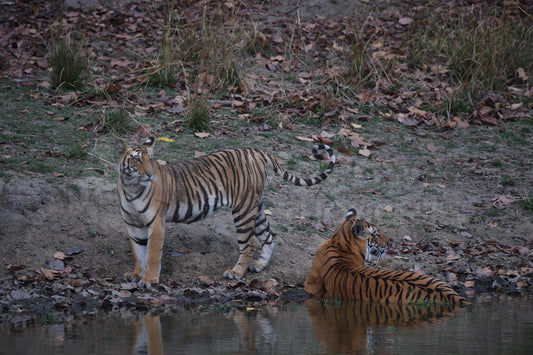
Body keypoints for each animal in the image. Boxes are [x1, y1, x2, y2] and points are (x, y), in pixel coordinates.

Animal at [118, 136, 334, 286]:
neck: (130, 187)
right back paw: (259, 265)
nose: (149, 174)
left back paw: (236, 273)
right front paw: (136, 274)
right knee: (269, 235)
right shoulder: (131, 223)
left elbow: (152, 254)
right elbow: (138, 251)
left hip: (243, 210)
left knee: (249, 244)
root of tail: (256, 151)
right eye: (137, 160)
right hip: (256, 207)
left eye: (151, 159)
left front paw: (149, 280)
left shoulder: (156, 222)